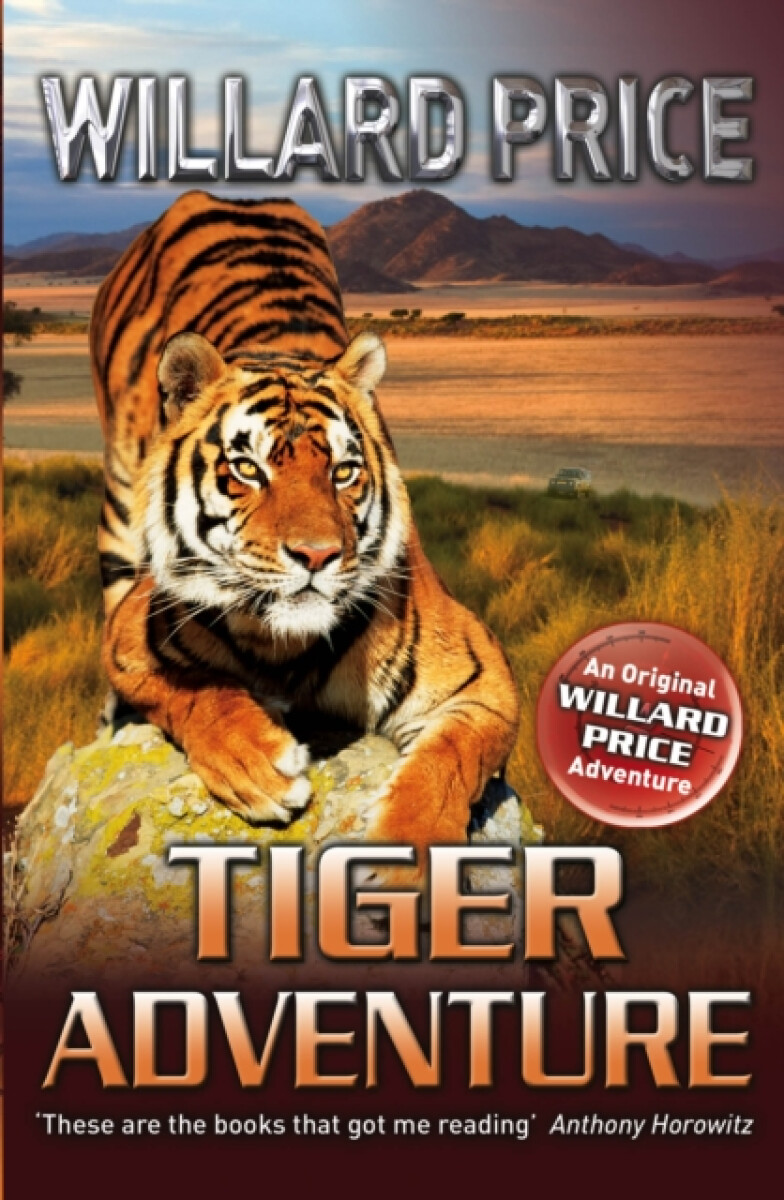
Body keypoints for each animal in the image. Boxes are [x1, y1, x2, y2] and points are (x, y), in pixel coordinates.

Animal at [90, 190, 519, 869]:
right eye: (248, 468)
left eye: (343, 472)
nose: (317, 555)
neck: (284, 646)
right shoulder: (134, 632)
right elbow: (195, 687)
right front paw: (259, 764)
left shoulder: (482, 681)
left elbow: (448, 764)